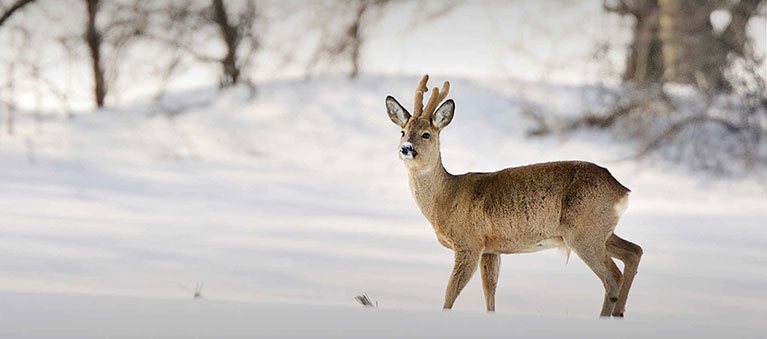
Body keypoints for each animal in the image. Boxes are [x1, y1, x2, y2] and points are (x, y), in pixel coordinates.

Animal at [384, 75, 640, 318]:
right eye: (403, 132)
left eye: (426, 134)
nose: (406, 148)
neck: (447, 197)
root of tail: (621, 190)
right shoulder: (490, 248)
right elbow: (490, 290)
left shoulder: (469, 243)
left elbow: (450, 292)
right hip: (599, 231)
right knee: (634, 251)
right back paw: (620, 313)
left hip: (584, 233)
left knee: (612, 277)